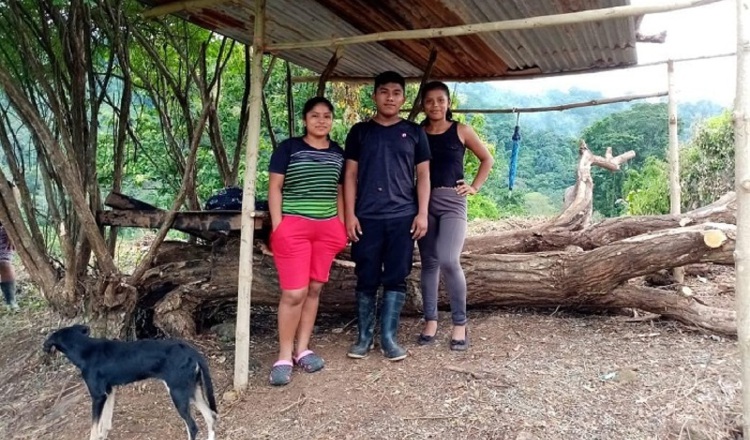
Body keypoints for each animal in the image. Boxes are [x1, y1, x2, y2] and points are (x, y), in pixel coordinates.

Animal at [45, 324, 217, 440]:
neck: (85, 349)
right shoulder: (109, 391)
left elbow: (94, 428)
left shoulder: (98, 396)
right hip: (193, 391)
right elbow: (105, 423)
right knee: (211, 417)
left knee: (193, 427)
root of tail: (191, 351)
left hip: (178, 393)